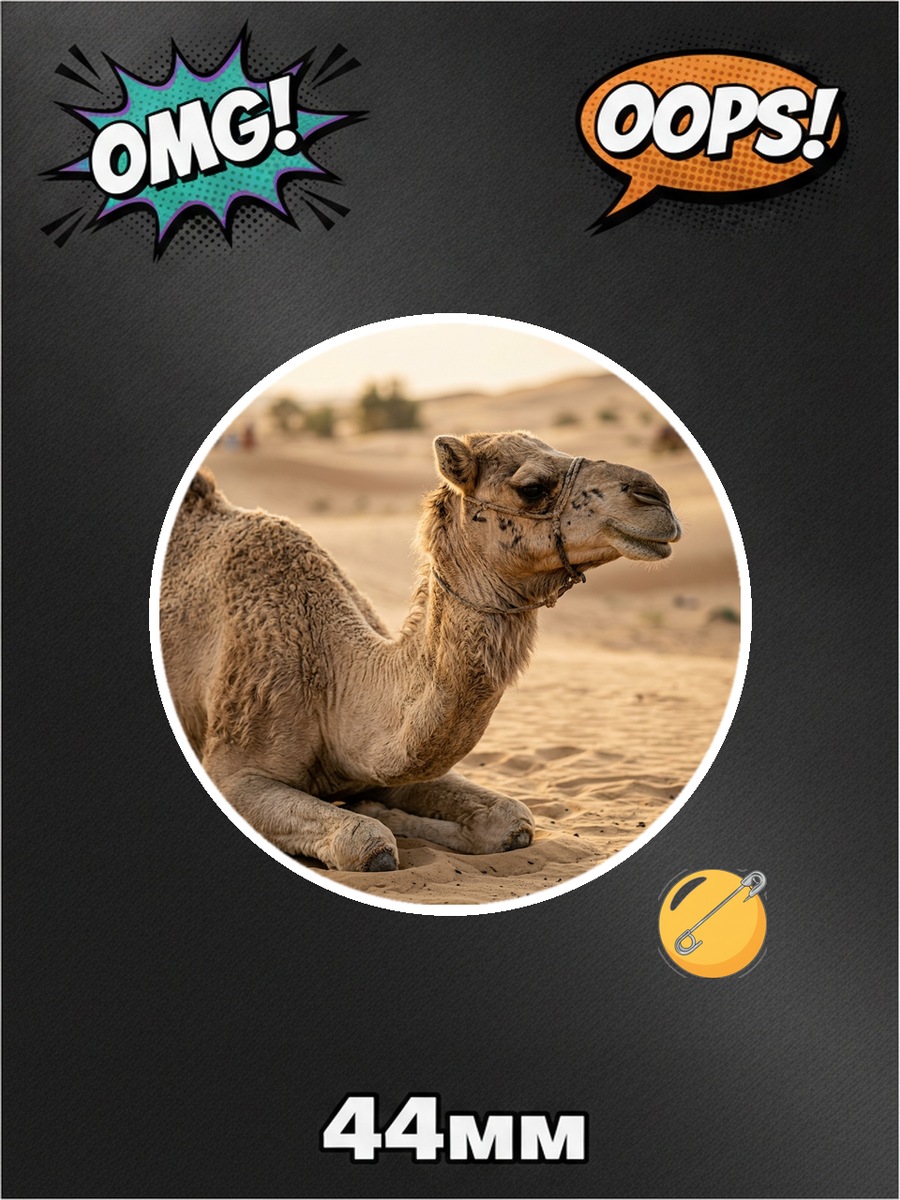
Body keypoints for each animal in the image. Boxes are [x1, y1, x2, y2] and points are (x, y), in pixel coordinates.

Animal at [160, 431, 681, 872]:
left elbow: (513, 820)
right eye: (532, 487)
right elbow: (369, 846)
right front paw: (376, 818)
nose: (656, 496)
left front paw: (381, 807)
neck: (332, 676)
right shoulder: (234, 769)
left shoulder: (373, 762)